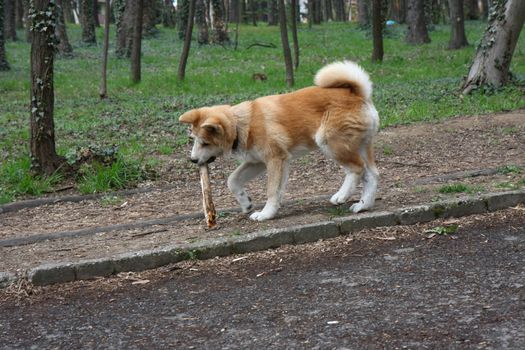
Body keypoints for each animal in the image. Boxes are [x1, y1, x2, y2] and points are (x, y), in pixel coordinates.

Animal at [179, 60, 376, 221]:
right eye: (193, 140)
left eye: (205, 143)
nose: (193, 160)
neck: (241, 124)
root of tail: (357, 94)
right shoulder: (257, 162)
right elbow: (232, 180)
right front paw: (245, 202)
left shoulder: (275, 159)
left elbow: (272, 191)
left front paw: (266, 214)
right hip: (360, 147)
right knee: (372, 175)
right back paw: (363, 205)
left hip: (330, 142)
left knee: (357, 169)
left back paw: (341, 195)